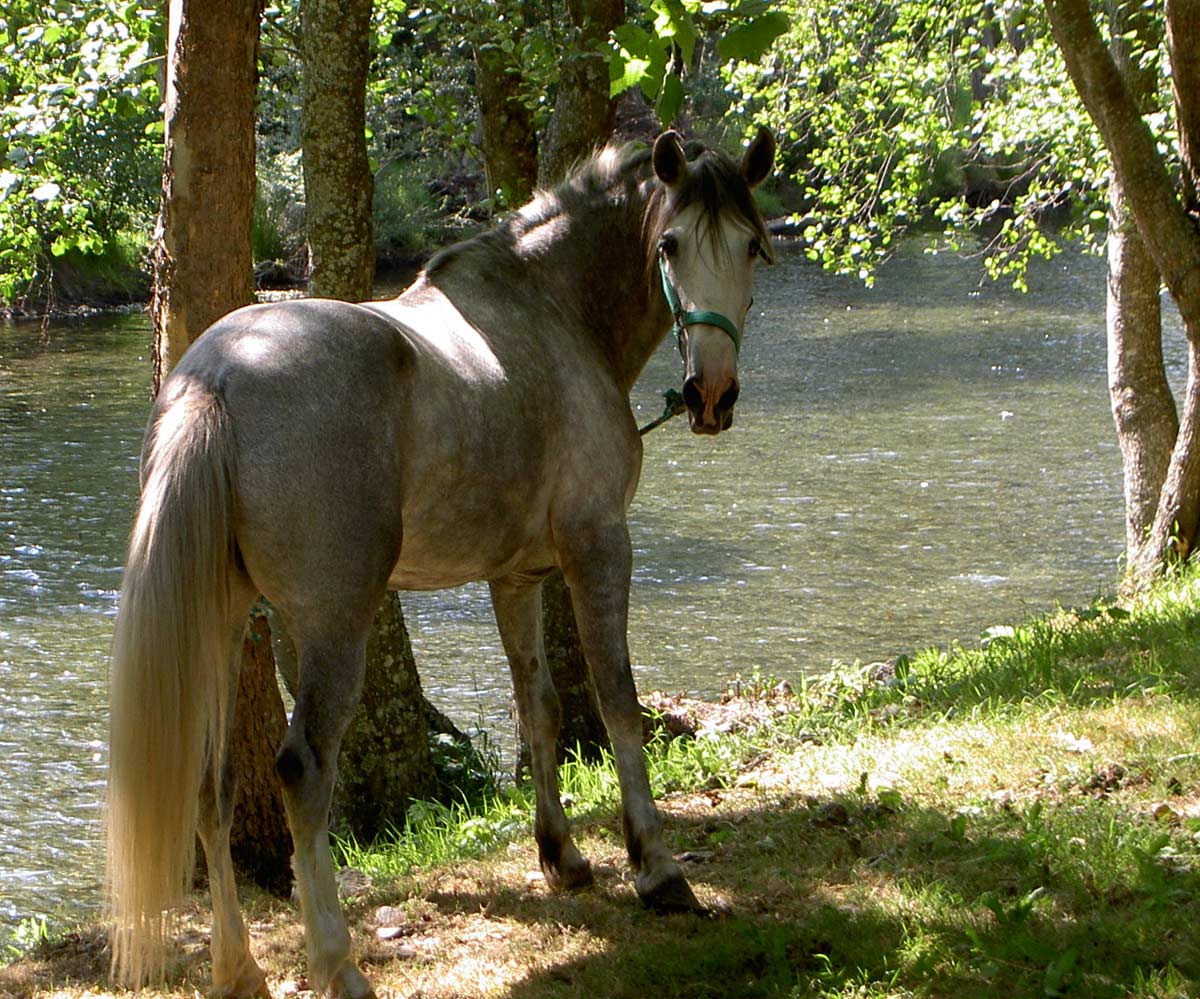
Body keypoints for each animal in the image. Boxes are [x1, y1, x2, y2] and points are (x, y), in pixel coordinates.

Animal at [105, 128, 777, 994]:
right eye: (670, 244)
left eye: (752, 246)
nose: (711, 394)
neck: (552, 313)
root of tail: (214, 376)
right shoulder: (598, 545)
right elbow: (618, 700)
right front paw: (657, 869)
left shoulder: (515, 575)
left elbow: (540, 706)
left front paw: (563, 857)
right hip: (334, 623)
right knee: (302, 771)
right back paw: (338, 962)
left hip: (220, 621)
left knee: (212, 786)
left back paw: (239, 967)